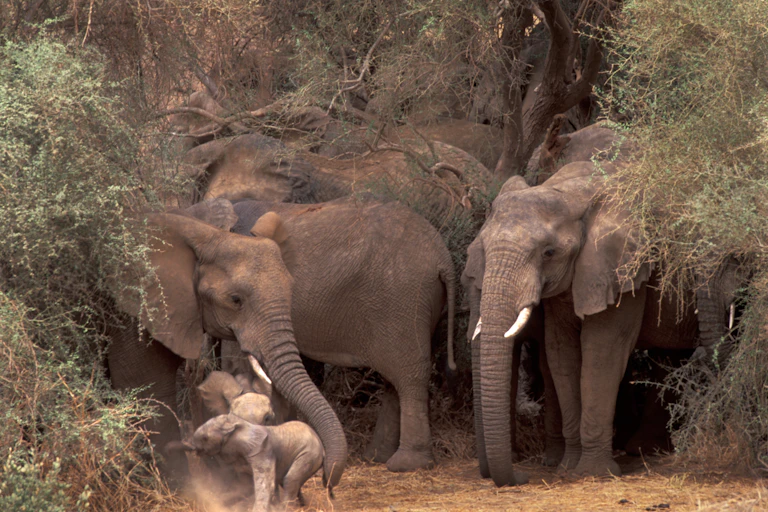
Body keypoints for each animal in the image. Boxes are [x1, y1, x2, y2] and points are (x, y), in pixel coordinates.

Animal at [178, 414, 324, 511]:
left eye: (205, 438)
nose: (191, 447)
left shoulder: (262, 452)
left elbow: (266, 486)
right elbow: (245, 486)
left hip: (309, 454)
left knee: (290, 479)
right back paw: (303, 505)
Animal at [466, 160, 711, 486]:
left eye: (549, 253)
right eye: (483, 248)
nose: (522, 475)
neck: (570, 193)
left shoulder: (620, 268)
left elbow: (601, 354)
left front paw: (594, 473)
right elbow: (562, 356)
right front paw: (568, 467)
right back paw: (644, 449)